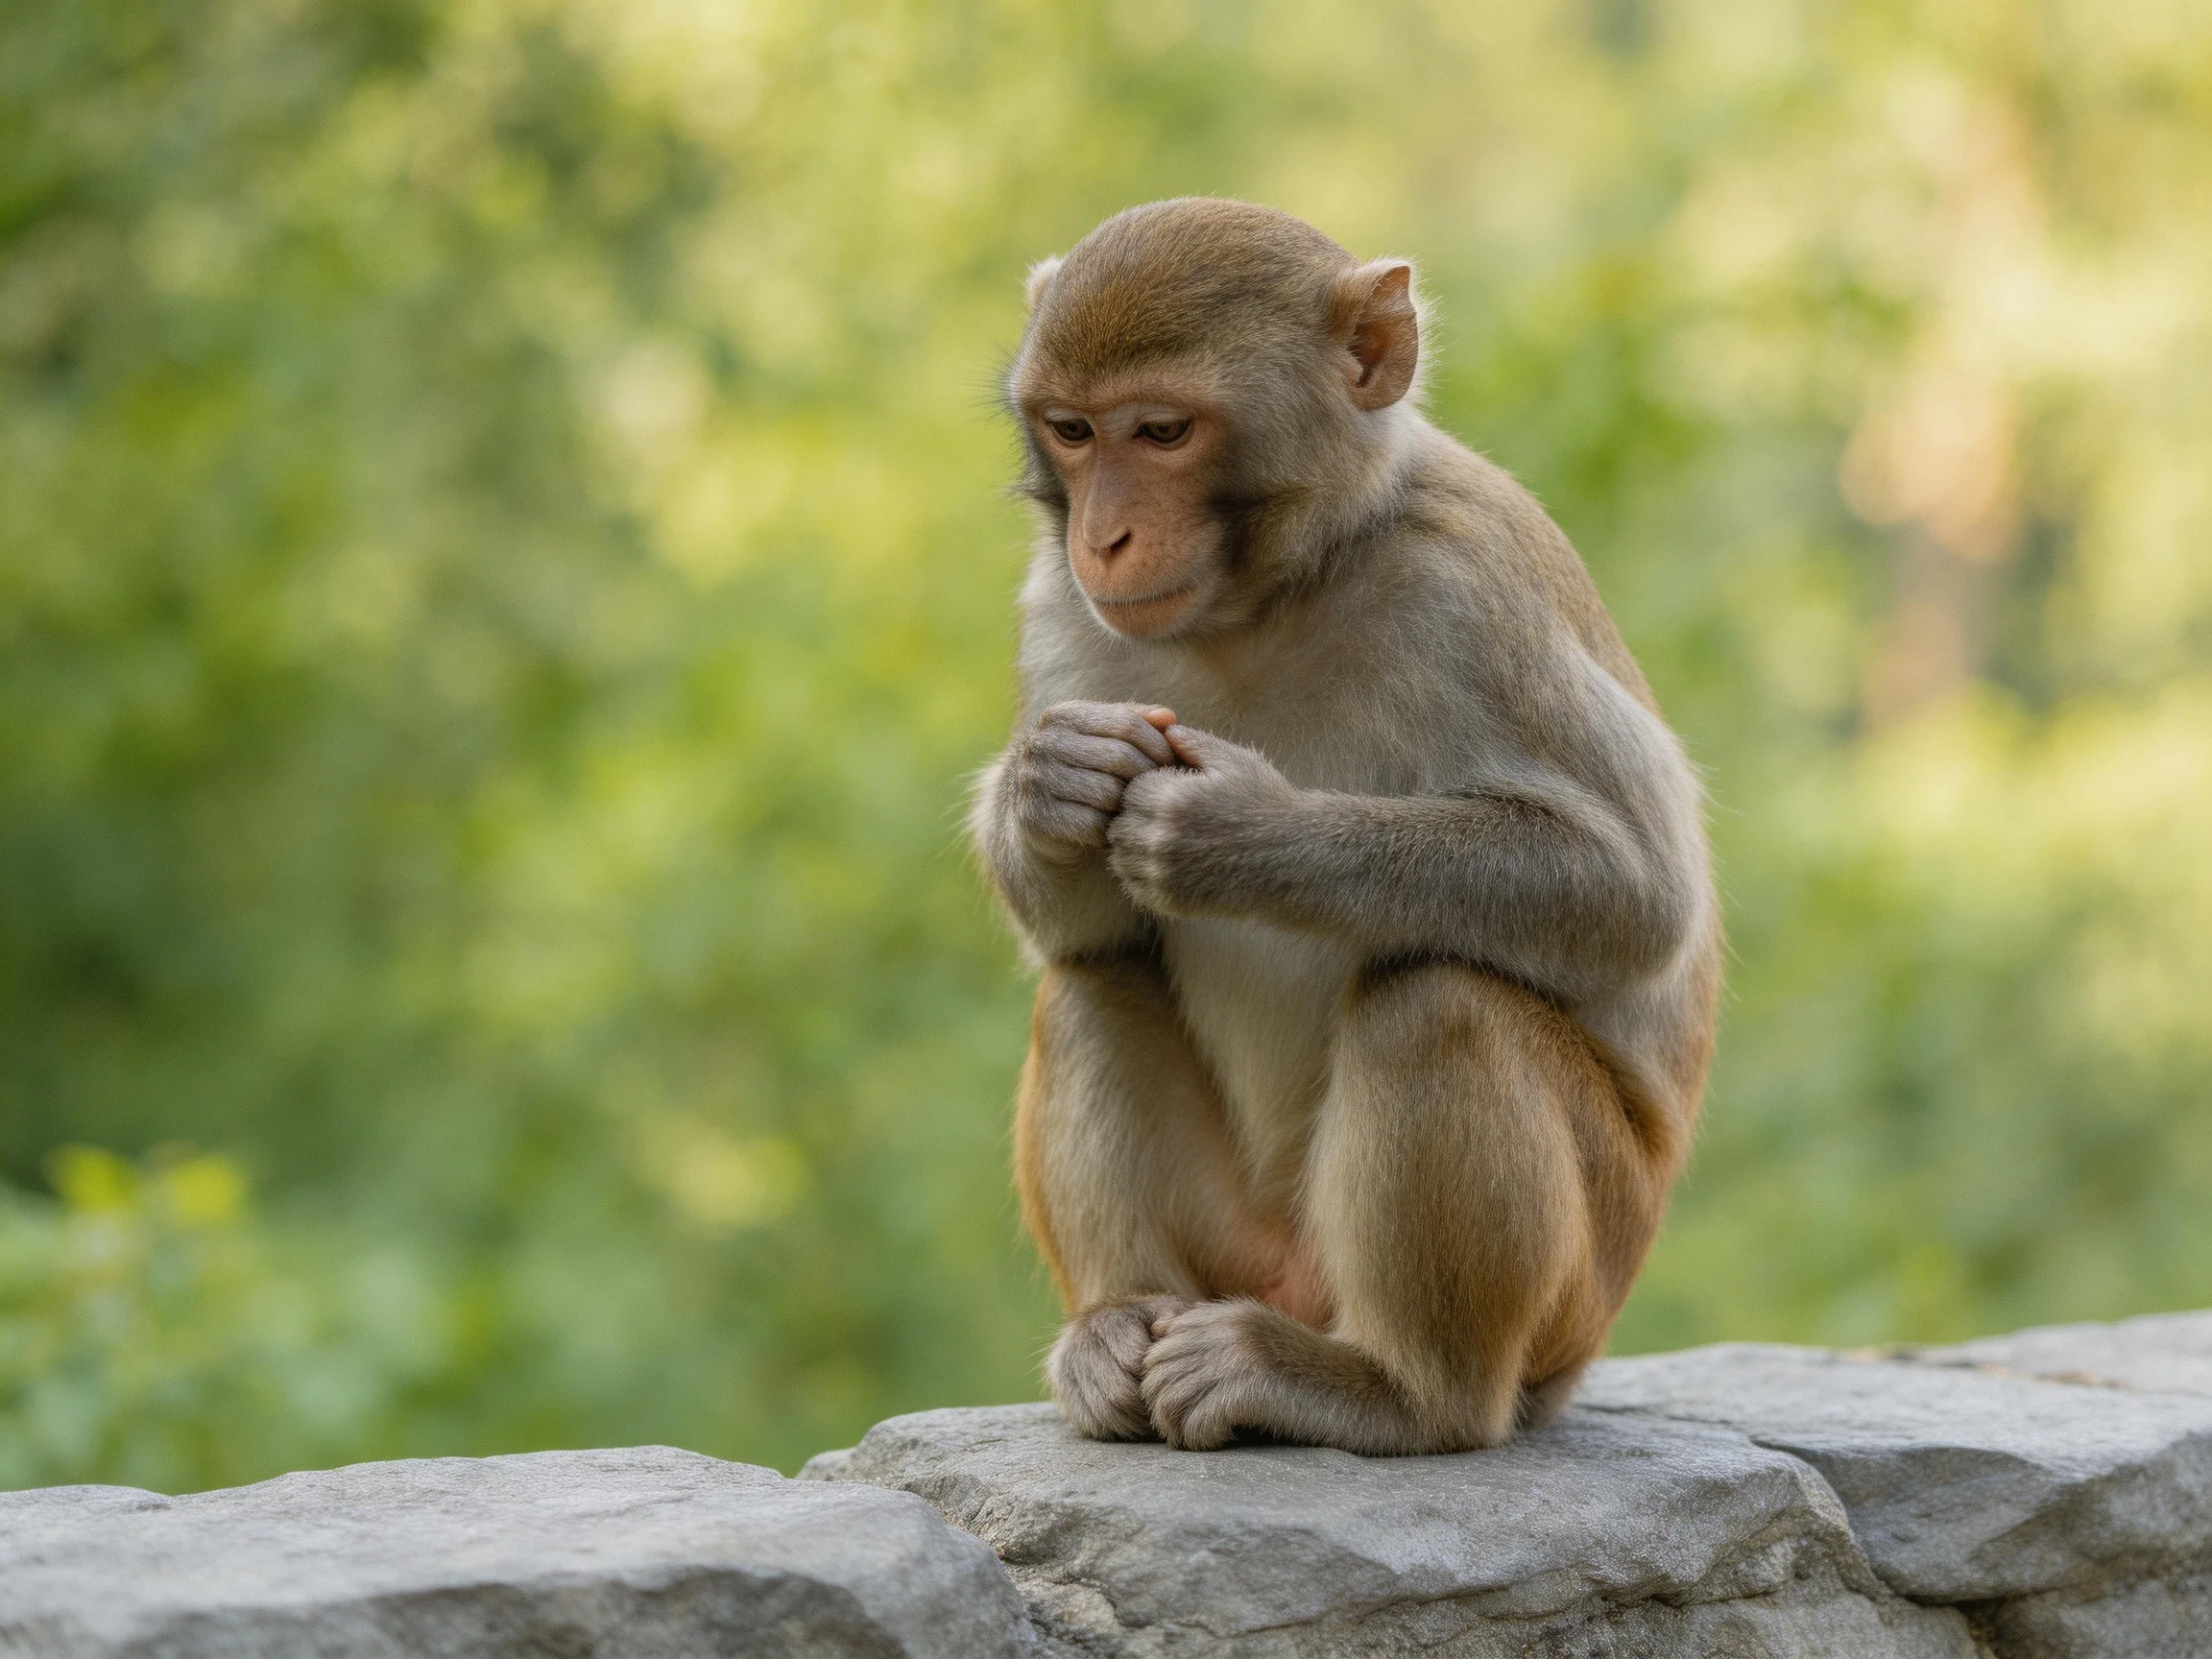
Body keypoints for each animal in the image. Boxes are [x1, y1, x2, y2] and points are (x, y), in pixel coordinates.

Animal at [968, 199, 1721, 1456]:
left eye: (1162, 431)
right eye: (1072, 431)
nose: (1104, 539)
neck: (1271, 598)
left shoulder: (1471, 591)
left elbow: (1635, 892)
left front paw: (1236, 831)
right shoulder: (1061, 616)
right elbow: (1081, 928)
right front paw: (1052, 784)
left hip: (1581, 1288)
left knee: (1439, 1001)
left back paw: (1399, 1391)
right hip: (1241, 1246)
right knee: (1088, 985)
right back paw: (1119, 1332)